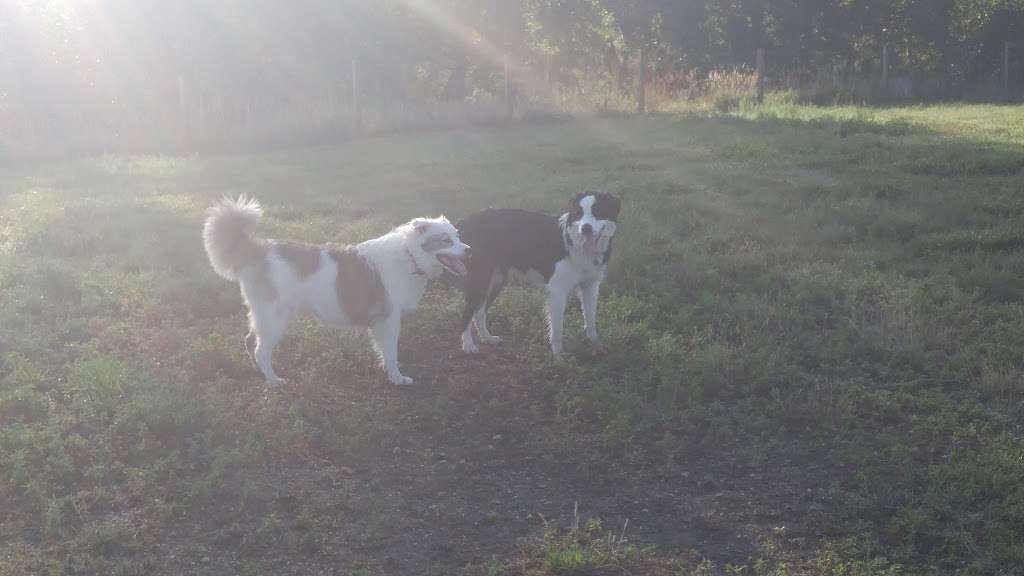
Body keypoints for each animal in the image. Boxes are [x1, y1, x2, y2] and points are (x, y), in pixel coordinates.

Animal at [202, 193, 471, 385]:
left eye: (457, 236)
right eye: (446, 240)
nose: (469, 250)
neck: (409, 255)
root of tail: (259, 249)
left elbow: (385, 354)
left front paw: (389, 371)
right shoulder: (388, 320)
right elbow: (391, 352)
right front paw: (396, 377)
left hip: (264, 317)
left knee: (250, 342)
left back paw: (260, 373)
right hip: (274, 318)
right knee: (260, 350)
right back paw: (273, 380)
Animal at [458, 191, 618, 354]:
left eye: (598, 211)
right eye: (578, 213)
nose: (585, 228)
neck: (574, 244)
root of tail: (469, 220)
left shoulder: (590, 286)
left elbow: (591, 318)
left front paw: (595, 343)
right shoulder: (557, 290)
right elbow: (557, 329)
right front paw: (558, 355)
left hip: (496, 280)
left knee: (479, 312)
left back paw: (487, 338)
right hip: (481, 278)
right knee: (467, 314)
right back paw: (468, 345)